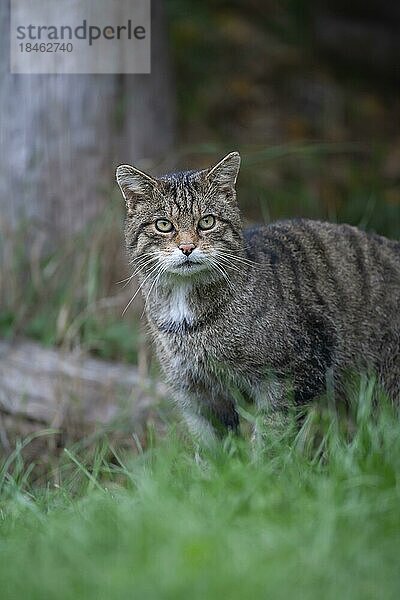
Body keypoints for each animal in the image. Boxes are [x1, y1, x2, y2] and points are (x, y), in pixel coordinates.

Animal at [117, 150, 400, 440]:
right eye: (163, 225)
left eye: (207, 221)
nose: (187, 247)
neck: (184, 316)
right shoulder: (196, 394)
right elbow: (211, 446)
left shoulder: (290, 378)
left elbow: (271, 436)